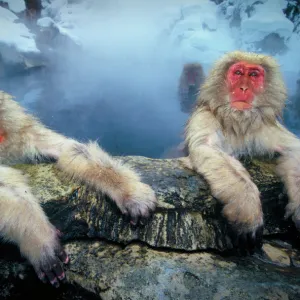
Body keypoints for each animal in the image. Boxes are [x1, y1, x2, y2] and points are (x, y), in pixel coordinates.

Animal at [184, 51, 300, 253]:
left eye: (253, 75)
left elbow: (294, 150)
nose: (243, 88)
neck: (238, 122)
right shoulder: (206, 117)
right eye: (238, 73)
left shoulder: (265, 127)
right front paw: (247, 207)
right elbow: (207, 147)